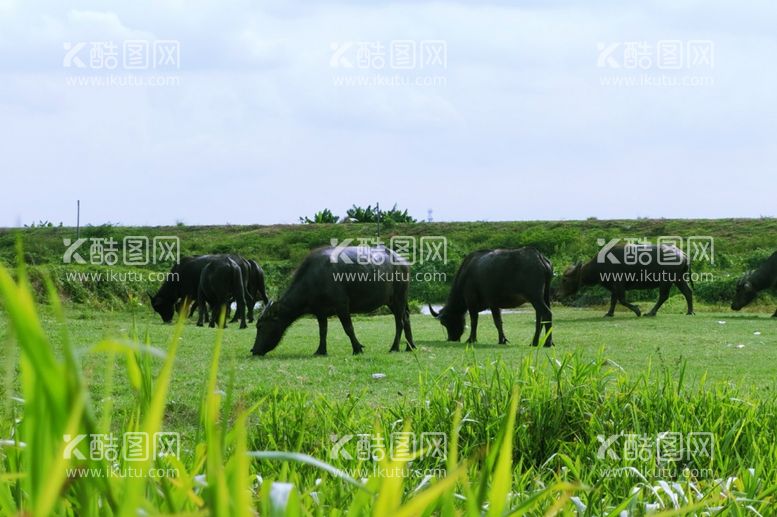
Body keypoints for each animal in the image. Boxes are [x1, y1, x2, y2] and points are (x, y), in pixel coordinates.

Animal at [252, 246, 416, 354]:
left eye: (260, 326)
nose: (254, 350)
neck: (314, 279)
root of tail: (403, 263)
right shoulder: (320, 312)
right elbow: (322, 331)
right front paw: (320, 350)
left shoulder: (342, 306)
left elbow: (348, 328)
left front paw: (357, 348)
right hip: (393, 301)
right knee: (406, 318)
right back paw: (410, 346)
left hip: (399, 298)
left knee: (400, 322)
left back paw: (394, 347)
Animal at [556, 244, 696, 316]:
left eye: (564, 280)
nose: (557, 294)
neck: (601, 264)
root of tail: (683, 254)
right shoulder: (614, 286)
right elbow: (613, 300)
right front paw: (609, 313)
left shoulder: (619, 284)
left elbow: (622, 300)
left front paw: (637, 310)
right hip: (679, 279)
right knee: (687, 292)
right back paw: (690, 312)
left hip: (666, 281)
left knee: (663, 296)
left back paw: (651, 312)